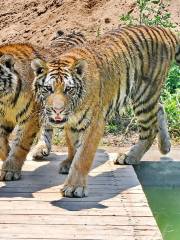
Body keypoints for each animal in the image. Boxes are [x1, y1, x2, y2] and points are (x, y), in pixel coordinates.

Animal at [0, 30, 86, 180]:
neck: (5, 101)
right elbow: (1, 144)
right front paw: (6, 156)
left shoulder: (30, 117)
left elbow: (21, 144)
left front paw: (10, 169)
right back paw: (41, 149)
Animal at [31, 25, 180, 198]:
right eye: (48, 89)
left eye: (69, 90)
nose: (57, 110)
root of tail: (164, 31)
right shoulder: (72, 123)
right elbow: (73, 145)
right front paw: (69, 163)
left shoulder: (95, 123)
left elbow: (83, 156)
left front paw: (75, 187)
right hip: (147, 95)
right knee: (160, 108)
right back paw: (165, 146)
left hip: (144, 94)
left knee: (150, 129)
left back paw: (130, 156)